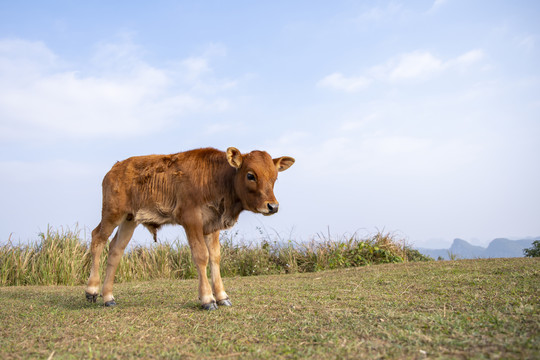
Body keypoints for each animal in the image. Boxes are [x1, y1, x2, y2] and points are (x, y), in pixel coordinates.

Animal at [85, 146, 296, 310]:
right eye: (251, 175)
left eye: (275, 177)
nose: (273, 206)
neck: (216, 178)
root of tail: (116, 167)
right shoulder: (191, 220)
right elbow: (201, 256)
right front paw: (207, 299)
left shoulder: (212, 225)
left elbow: (215, 257)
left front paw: (222, 296)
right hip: (112, 214)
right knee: (97, 239)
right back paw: (92, 290)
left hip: (129, 220)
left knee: (115, 250)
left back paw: (108, 297)